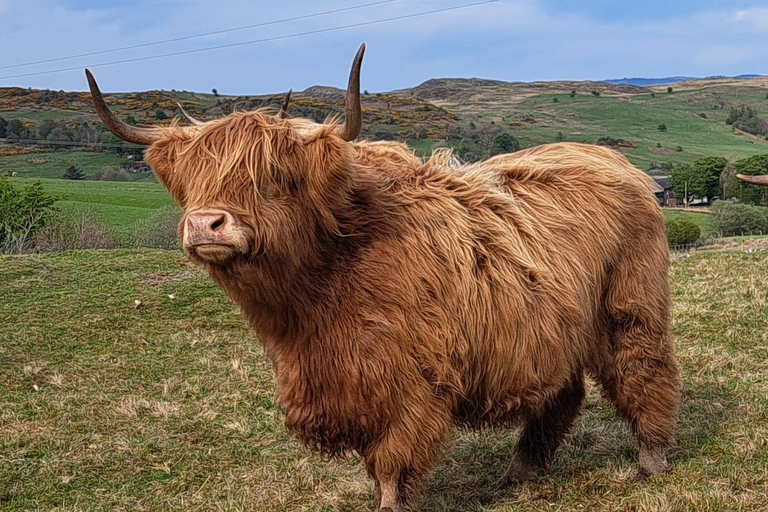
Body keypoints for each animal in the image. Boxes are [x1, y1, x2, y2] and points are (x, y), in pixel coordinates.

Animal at [86, 44, 680, 511]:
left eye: (274, 178)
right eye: (192, 179)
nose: (205, 223)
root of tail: (614, 160)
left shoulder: (412, 382)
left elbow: (394, 465)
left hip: (631, 305)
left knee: (643, 370)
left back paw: (650, 461)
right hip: (553, 329)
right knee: (562, 393)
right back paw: (519, 473)